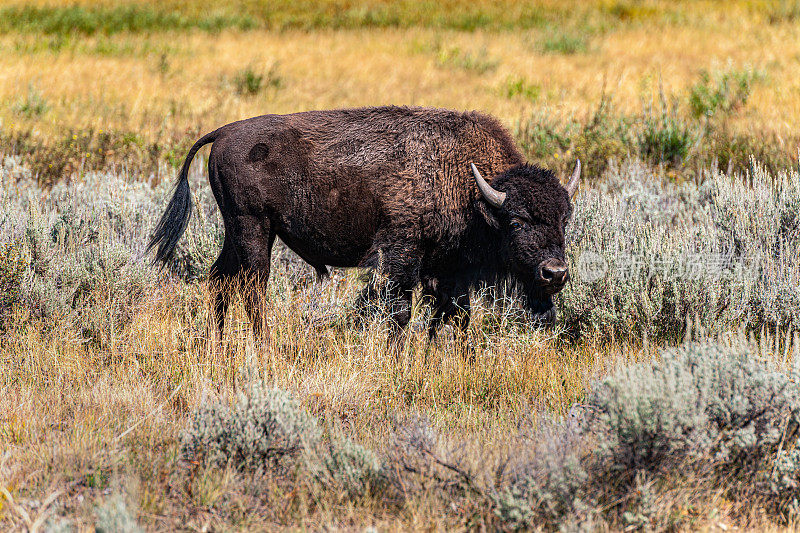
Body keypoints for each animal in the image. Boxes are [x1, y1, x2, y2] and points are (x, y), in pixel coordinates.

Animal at [147, 105, 580, 336]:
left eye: (564, 220)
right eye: (517, 221)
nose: (555, 273)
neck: (475, 192)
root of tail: (223, 132)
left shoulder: (447, 272)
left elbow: (453, 316)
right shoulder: (402, 255)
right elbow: (401, 311)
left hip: (241, 233)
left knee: (220, 279)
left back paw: (219, 346)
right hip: (253, 229)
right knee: (253, 288)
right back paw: (262, 345)